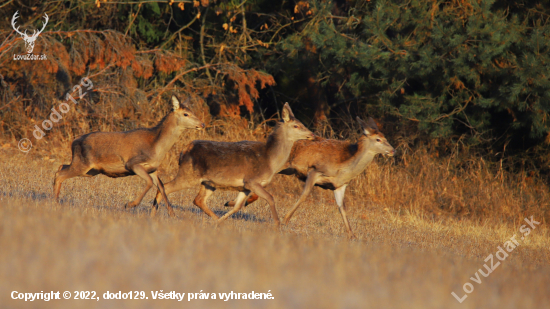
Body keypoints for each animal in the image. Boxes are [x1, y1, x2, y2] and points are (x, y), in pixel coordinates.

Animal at [53, 95, 205, 215]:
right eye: (186, 114)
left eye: (192, 111)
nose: (202, 124)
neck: (156, 147)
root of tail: (74, 142)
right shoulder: (132, 163)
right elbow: (149, 183)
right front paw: (130, 204)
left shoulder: (153, 169)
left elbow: (161, 187)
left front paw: (172, 213)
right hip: (83, 163)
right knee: (60, 174)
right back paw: (55, 202)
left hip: (89, 170)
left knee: (61, 167)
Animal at [152, 102, 314, 225]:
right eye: (296, 126)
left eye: (301, 124)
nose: (312, 134)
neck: (271, 161)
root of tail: (183, 151)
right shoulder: (252, 180)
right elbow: (270, 198)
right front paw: (277, 224)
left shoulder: (245, 187)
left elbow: (238, 206)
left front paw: (222, 219)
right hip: (188, 174)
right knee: (166, 187)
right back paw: (155, 214)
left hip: (208, 182)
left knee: (198, 200)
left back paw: (216, 220)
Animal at [222, 116, 394, 238]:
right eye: (378, 139)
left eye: (385, 137)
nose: (393, 150)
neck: (344, 166)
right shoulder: (315, 170)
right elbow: (304, 195)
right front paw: (285, 219)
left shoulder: (340, 185)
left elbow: (342, 207)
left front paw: (352, 235)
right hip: (283, 166)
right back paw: (233, 202)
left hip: (286, 170)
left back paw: (233, 202)